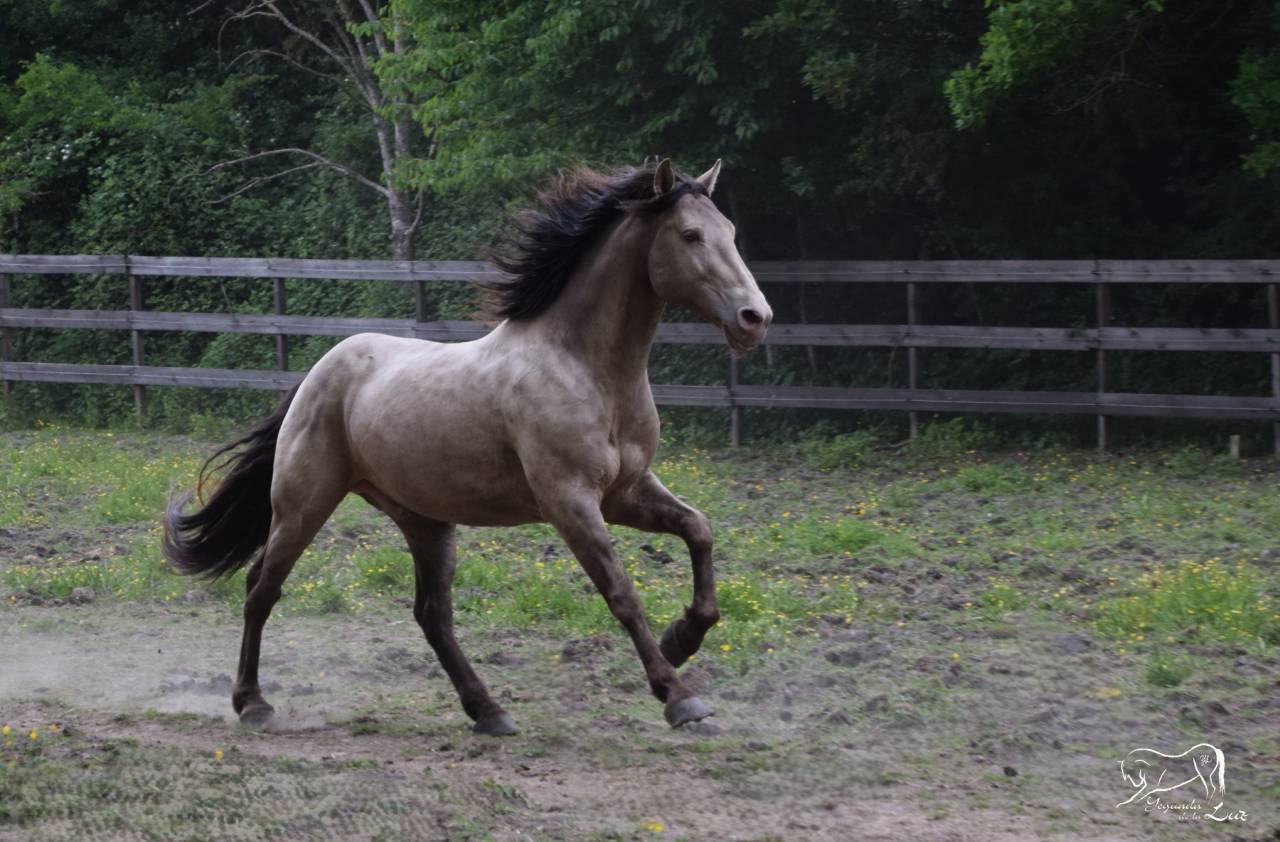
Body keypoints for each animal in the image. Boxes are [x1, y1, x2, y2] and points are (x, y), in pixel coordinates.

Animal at [162, 159, 772, 735]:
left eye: (730, 230)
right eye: (690, 235)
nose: (755, 318)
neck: (585, 368)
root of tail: (318, 372)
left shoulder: (626, 491)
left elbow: (698, 530)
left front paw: (682, 638)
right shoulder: (570, 501)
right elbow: (621, 592)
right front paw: (679, 696)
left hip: (425, 521)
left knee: (432, 615)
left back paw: (489, 711)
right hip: (303, 504)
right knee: (261, 588)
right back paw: (253, 704)